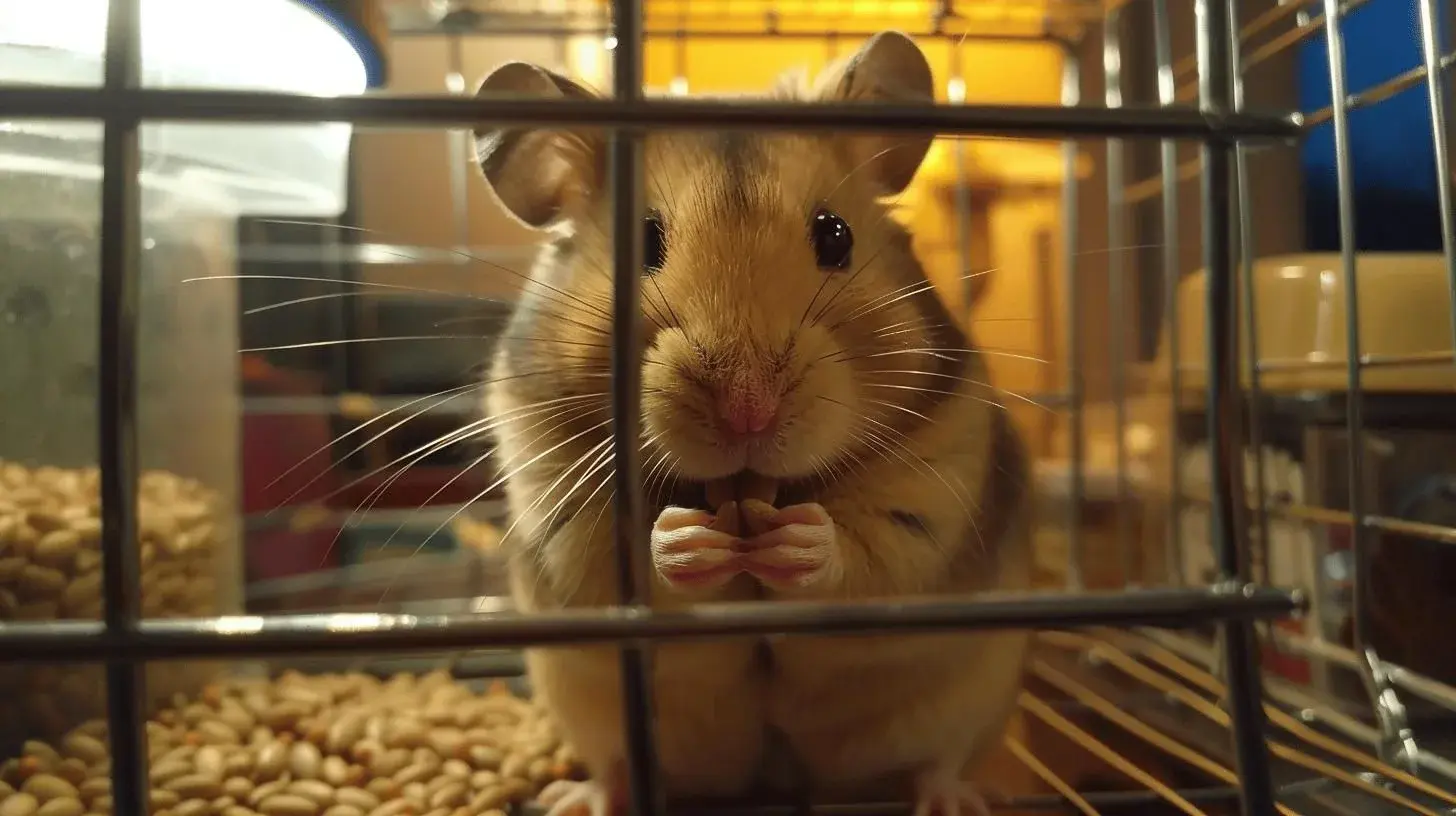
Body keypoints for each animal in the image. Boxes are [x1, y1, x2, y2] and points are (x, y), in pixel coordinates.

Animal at [470, 29, 1031, 816]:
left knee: (937, 761)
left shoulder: (935, 479)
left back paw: (957, 798)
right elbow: (628, 562)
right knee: (613, 763)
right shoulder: (556, 494)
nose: (747, 411)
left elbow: (868, 553)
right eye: (640, 243)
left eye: (835, 235)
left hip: (974, 700)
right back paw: (579, 798)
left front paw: (797, 539)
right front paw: (685, 540)